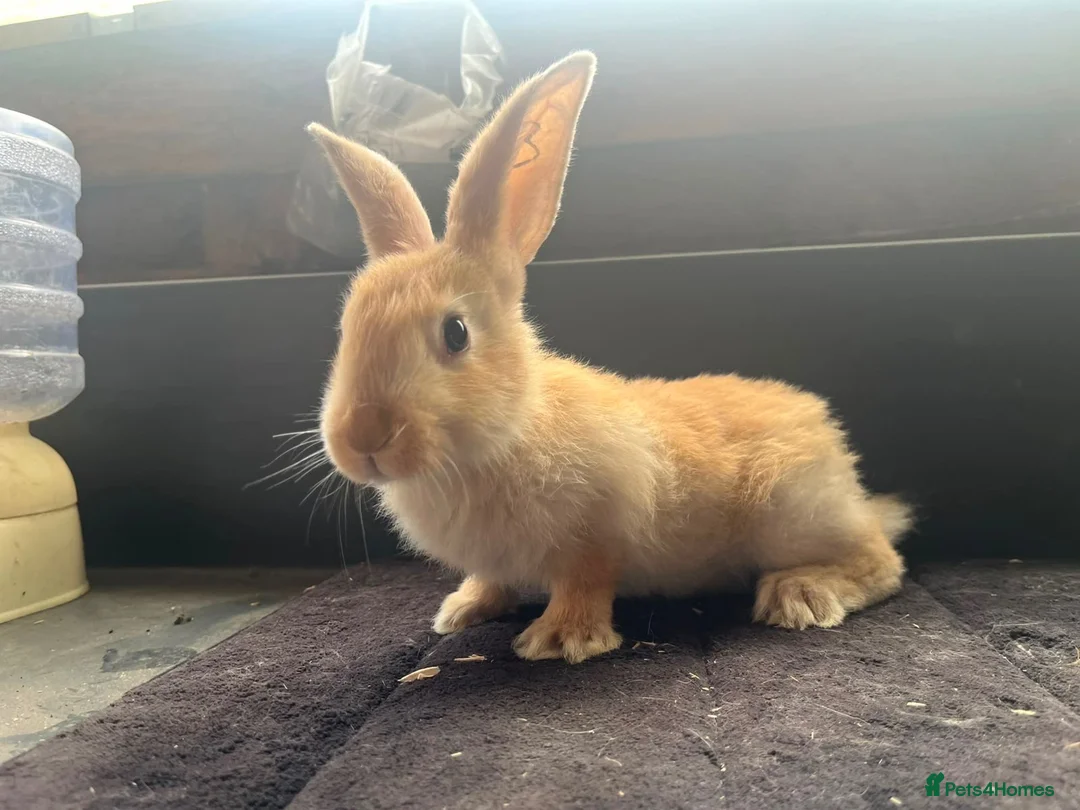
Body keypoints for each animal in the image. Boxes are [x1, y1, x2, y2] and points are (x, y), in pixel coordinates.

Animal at [309, 51, 911, 664]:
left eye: (455, 334)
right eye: (346, 328)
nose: (362, 437)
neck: (508, 431)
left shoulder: (598, 529)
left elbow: (586, 580)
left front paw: (559, 640)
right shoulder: (497, 558)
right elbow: (492, 580)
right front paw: (460, 611)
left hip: (789, 514)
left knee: (882, 559)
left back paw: (800, 595)